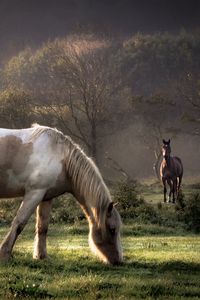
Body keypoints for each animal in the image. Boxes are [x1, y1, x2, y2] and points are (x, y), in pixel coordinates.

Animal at [0, 124, 122, 264]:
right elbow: (19, 223)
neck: (61, 157)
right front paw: (4, 254)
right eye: (112, 229)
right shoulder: (34, 193)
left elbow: (42, 227)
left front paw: (41, 256)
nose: (118, 261)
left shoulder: (46, 197)